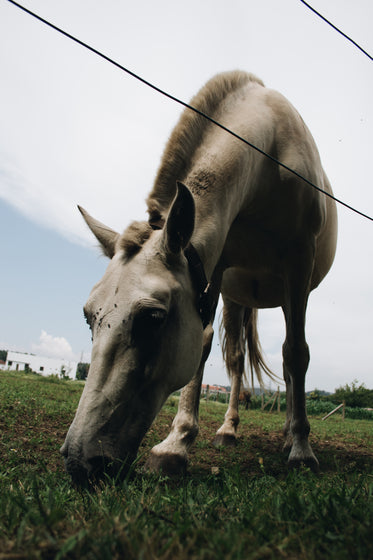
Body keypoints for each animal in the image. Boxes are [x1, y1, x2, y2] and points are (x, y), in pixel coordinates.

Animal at [61, 69, 338, 482]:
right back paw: (229, 430)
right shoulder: (215, 266)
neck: (270, 156)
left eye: (152, 316)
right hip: (238, 297)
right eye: (88, 316)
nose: (80, 460)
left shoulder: (299, 264)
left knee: (291, 364)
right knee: (237, 361)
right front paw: (176, 443)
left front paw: (302, 451)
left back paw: (291, 434)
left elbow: (296, 353)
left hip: (292, 291)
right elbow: (204, 345)